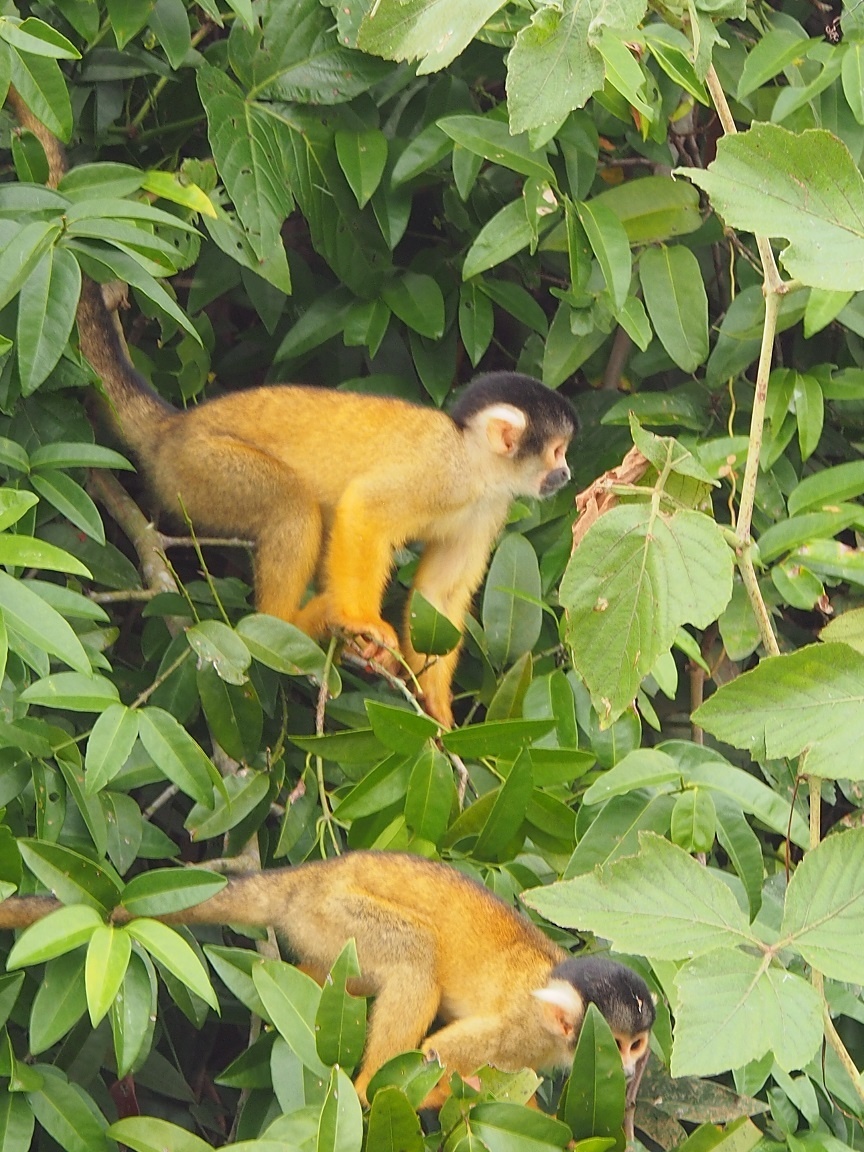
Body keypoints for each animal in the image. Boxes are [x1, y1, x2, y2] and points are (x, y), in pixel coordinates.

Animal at [0, 852, 654, 1108]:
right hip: (338, 913)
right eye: (619, 1044)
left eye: (638, 1046)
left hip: (324, 933)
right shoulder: (523, 1033)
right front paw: (443, 1089)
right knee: (416, 958)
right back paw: (365, 1089)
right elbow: (438, 1055)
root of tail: (304, 879)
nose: (627, 1069)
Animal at [5, 89, 577, 728]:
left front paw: (437, 710)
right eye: (555, 450)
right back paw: (288, 623)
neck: (477, 466)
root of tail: (176, 424)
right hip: (200, 470)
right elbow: (364, 510)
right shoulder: (441, 473)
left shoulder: (488, 508)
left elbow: (441, 596)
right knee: (293, 508)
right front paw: (360, 621)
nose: (565, 473)